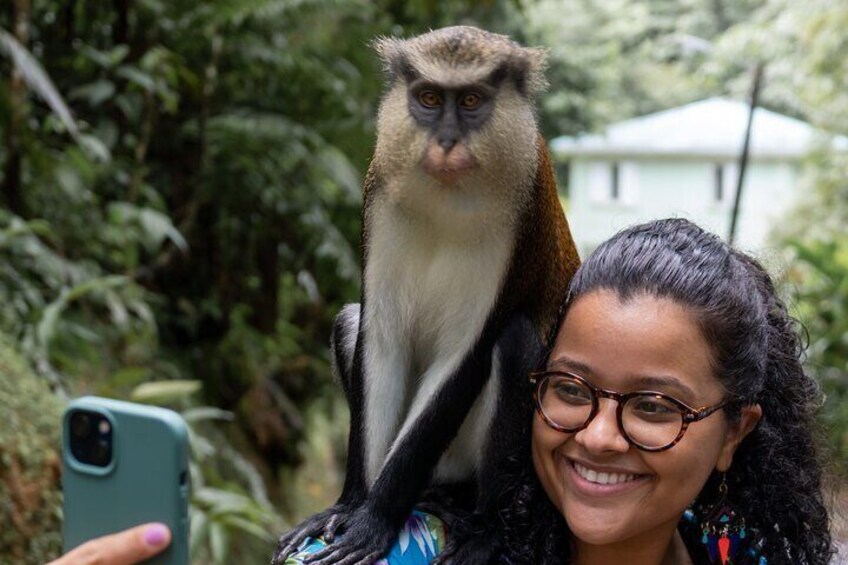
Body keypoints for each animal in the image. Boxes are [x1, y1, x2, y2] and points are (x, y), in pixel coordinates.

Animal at [274, 26, 580, 564]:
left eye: (472, 100)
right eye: (430, 99)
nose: (445, 142)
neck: (446, 198)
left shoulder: (519, 220)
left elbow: (466, 357)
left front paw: (375, 518)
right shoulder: (378, 200)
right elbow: (380, 339)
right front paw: (350, 506)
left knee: (514, 340)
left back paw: (484, 527)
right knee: (348, 320)